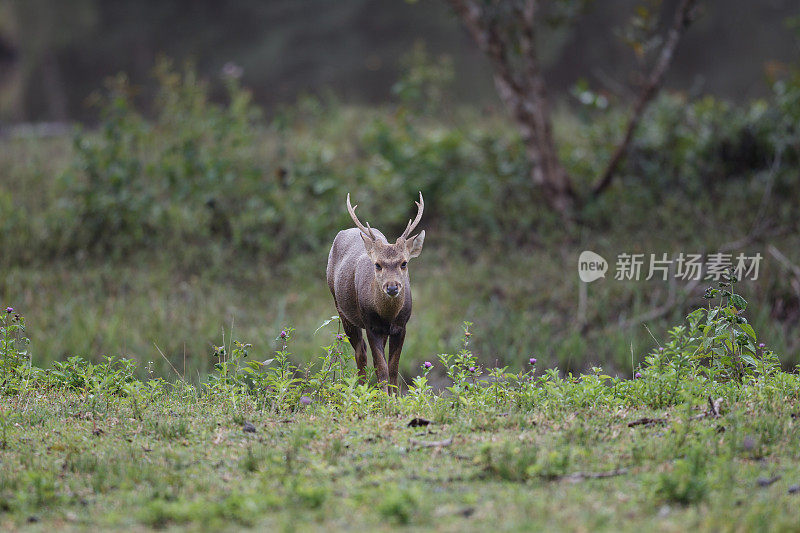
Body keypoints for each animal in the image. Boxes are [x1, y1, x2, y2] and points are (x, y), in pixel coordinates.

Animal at [324, 192, 424, 390]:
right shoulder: (370, 325)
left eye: (404, 263)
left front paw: (394, 396)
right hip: (341, 309)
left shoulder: (402, 326)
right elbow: (382, 369)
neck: (388, 315)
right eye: (377, 265)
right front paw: (383, 397)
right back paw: (361, 388)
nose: (392, 286)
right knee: (360, 353)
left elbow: (392, 369)